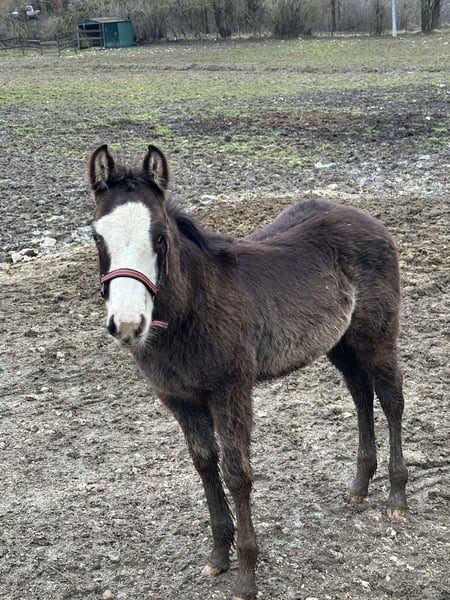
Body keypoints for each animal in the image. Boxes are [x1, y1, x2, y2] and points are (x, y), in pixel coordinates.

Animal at [87, 143, 408, 600]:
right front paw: (218, 556)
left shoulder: (232, 391)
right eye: (97, 236)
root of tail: (366, 218)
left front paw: (246, 575)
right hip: (340, 343)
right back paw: (360, 486)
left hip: (376, 335)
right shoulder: (179, 399)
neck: (192, 309)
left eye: (160, 236)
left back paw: (397, 497)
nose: (129, 325)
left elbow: (237, 473)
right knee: (361, 396)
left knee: (391, 399)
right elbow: (205, 464)